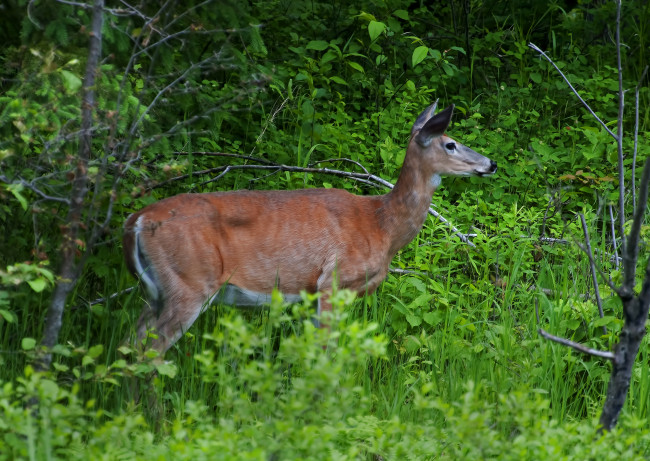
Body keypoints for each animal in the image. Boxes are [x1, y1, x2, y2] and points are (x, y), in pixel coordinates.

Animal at [123, 101, 496, 352]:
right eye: (450, 143)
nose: (490, 163)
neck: (381, 225)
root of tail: (135, 221)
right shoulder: (333, 281)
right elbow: (326, 352)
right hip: (189, 282)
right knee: (149, 354)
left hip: (156, 291)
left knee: (130, 344)